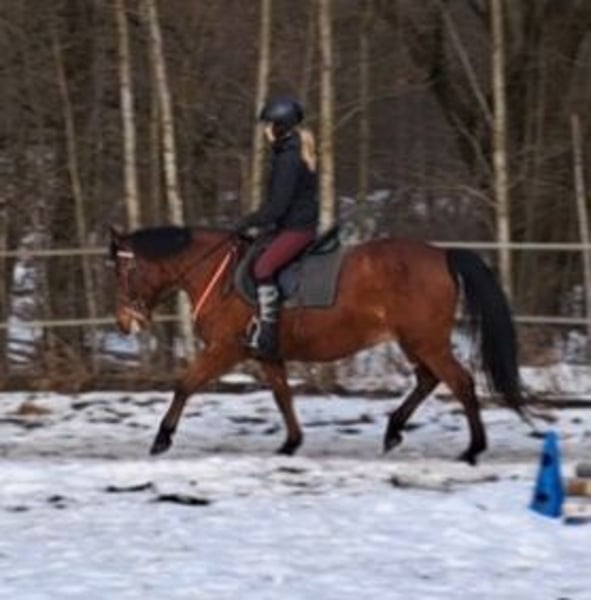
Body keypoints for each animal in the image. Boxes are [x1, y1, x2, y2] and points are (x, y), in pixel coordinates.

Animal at [108, 225, 528, 465]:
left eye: (126, 270)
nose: (125, 322)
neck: (218, 274)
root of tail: (442, 253)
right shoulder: (266, 353)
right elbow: (282, 395)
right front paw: (291, 443)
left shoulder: (225, 349)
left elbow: (185, 385)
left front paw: (162, 438)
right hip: (416, 342)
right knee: (428, 380)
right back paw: (394, 430)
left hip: (427, 342)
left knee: (460, 383)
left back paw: (473, 449)